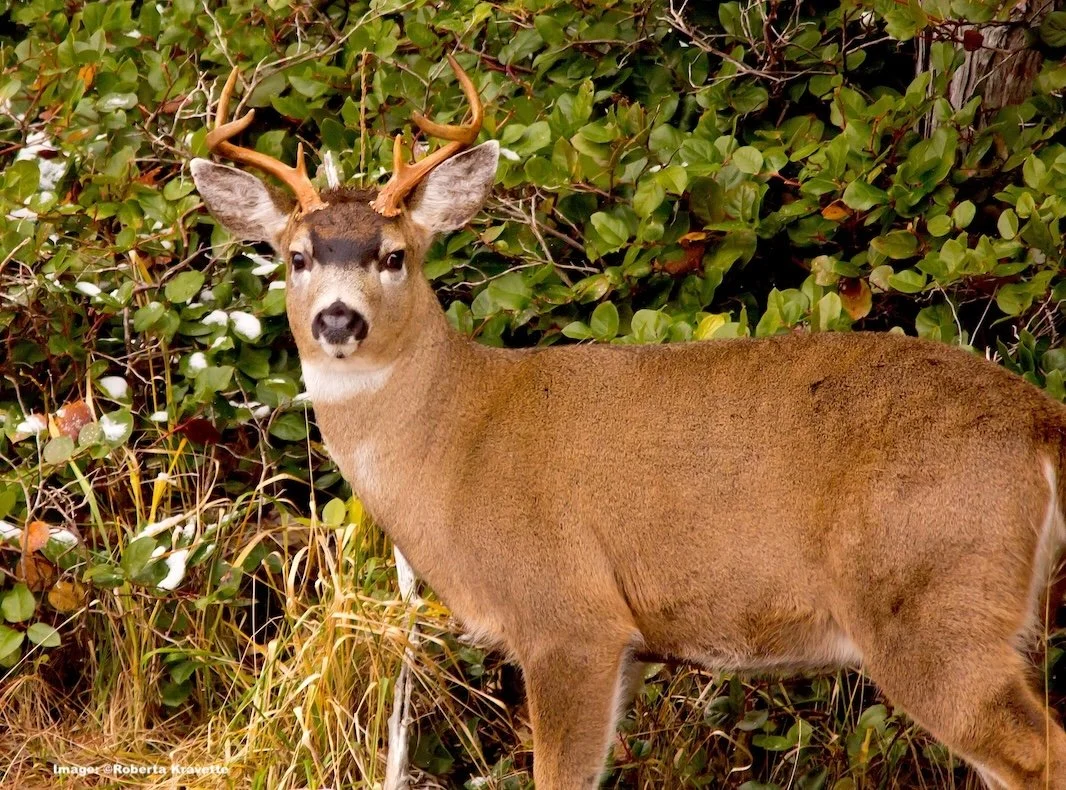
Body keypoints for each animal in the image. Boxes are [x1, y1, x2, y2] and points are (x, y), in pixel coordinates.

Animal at [189, 57, 1066, 790]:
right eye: (297, 256)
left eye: (395, 255)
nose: (338, 320)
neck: (456, 443)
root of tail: (1040, 420)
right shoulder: (633, 646)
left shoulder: (567, 615)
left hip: (929, 596)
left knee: (1038, 752)